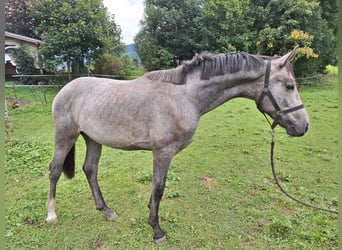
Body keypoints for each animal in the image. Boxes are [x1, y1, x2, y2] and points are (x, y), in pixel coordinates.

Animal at [45, 47, 310, 244]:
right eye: (289, 86)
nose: (304, 126)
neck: (184, 96)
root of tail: (65, 89)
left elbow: (155, 190)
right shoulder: (163, 151)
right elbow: (158, 188)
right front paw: (156, 230)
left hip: (93, 139)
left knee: (90, 170)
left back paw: (106, 211)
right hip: (65, 136)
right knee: (55, 171)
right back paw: (51, 214)